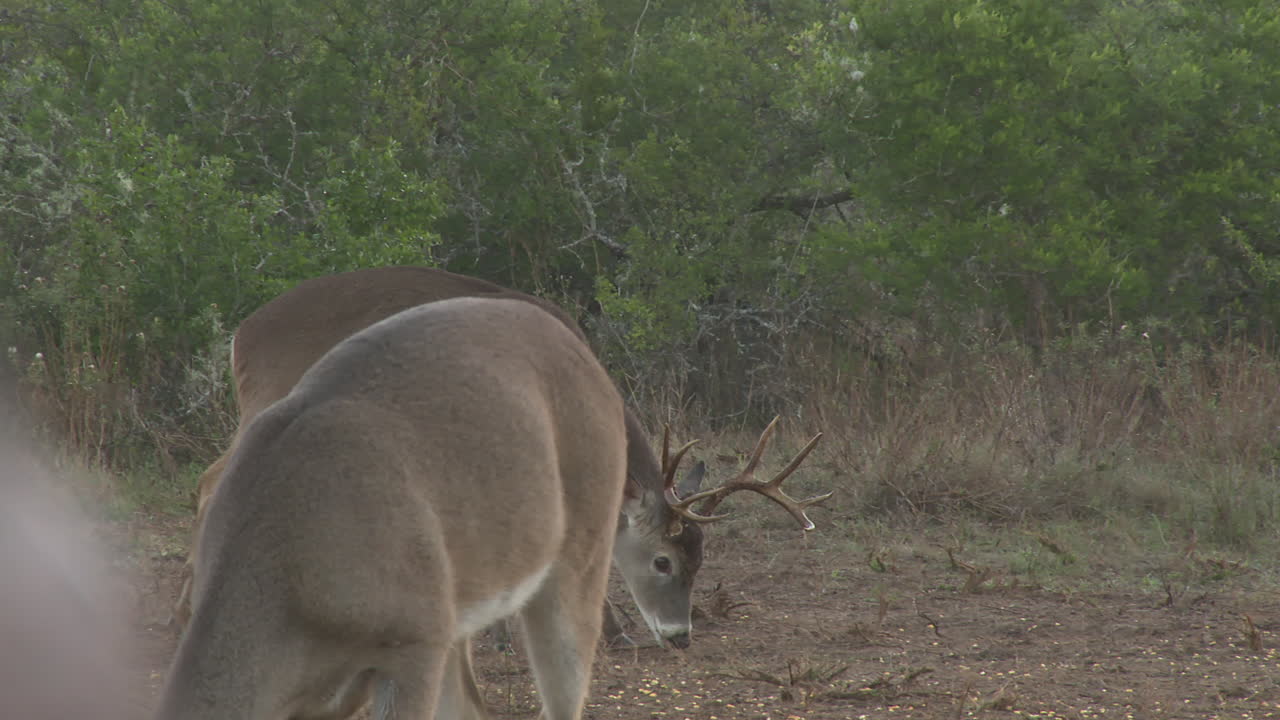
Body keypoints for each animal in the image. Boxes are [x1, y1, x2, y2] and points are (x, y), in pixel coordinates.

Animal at [172, 266, 830, 653]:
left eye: (702, 558)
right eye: (664, 561)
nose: (681, 635)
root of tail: (241, 336)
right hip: (272, 398)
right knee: (211, 481)